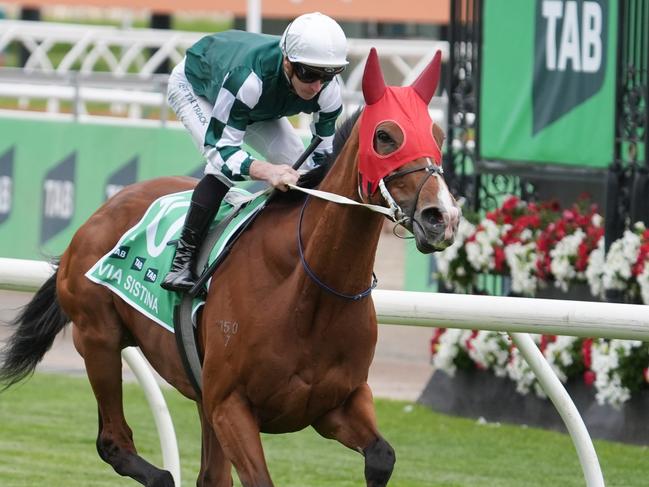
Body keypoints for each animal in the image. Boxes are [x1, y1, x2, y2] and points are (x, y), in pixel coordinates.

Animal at [0, 50, 460, 487]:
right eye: (385, 136)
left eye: (438, 136)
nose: (443, 217)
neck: (309, 293)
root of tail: (100, 214)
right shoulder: (231, 405)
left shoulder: (337, 404)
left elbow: (382, 456)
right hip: (99, 337)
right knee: (114, 442)